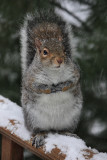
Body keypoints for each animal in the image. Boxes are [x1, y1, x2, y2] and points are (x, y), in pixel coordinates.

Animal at [20, 10, 83, 148]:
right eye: (44, 52)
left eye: (64, 50)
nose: (59, 60)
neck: (54, 72)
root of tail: (52, 127)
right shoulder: (31, 78)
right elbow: (36, 87)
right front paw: (49, 88)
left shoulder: (74, 72)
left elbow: (73, 82)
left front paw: (62, 86)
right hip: (34, 119)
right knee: (40, 130)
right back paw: (40, 135)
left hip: (71, 119)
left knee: (63, 130)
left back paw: (67, 133)